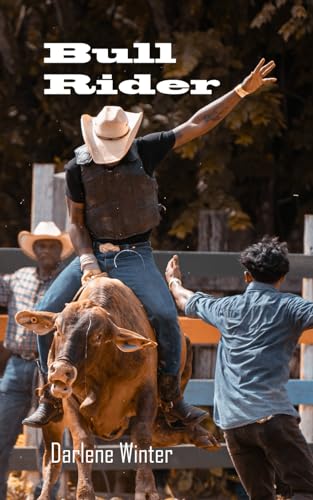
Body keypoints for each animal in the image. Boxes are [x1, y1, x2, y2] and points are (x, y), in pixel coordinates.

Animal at [16, 276, 217, 500]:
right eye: (57, 330)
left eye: (97, 336)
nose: (60, 371)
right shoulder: (71, 404)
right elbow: (83, 443)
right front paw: (85, 492)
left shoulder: (147, 395)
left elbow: (142, 437)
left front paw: (146, 490)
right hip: (53, 423)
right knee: (52, 462)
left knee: (164, 433)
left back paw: (201, 435)